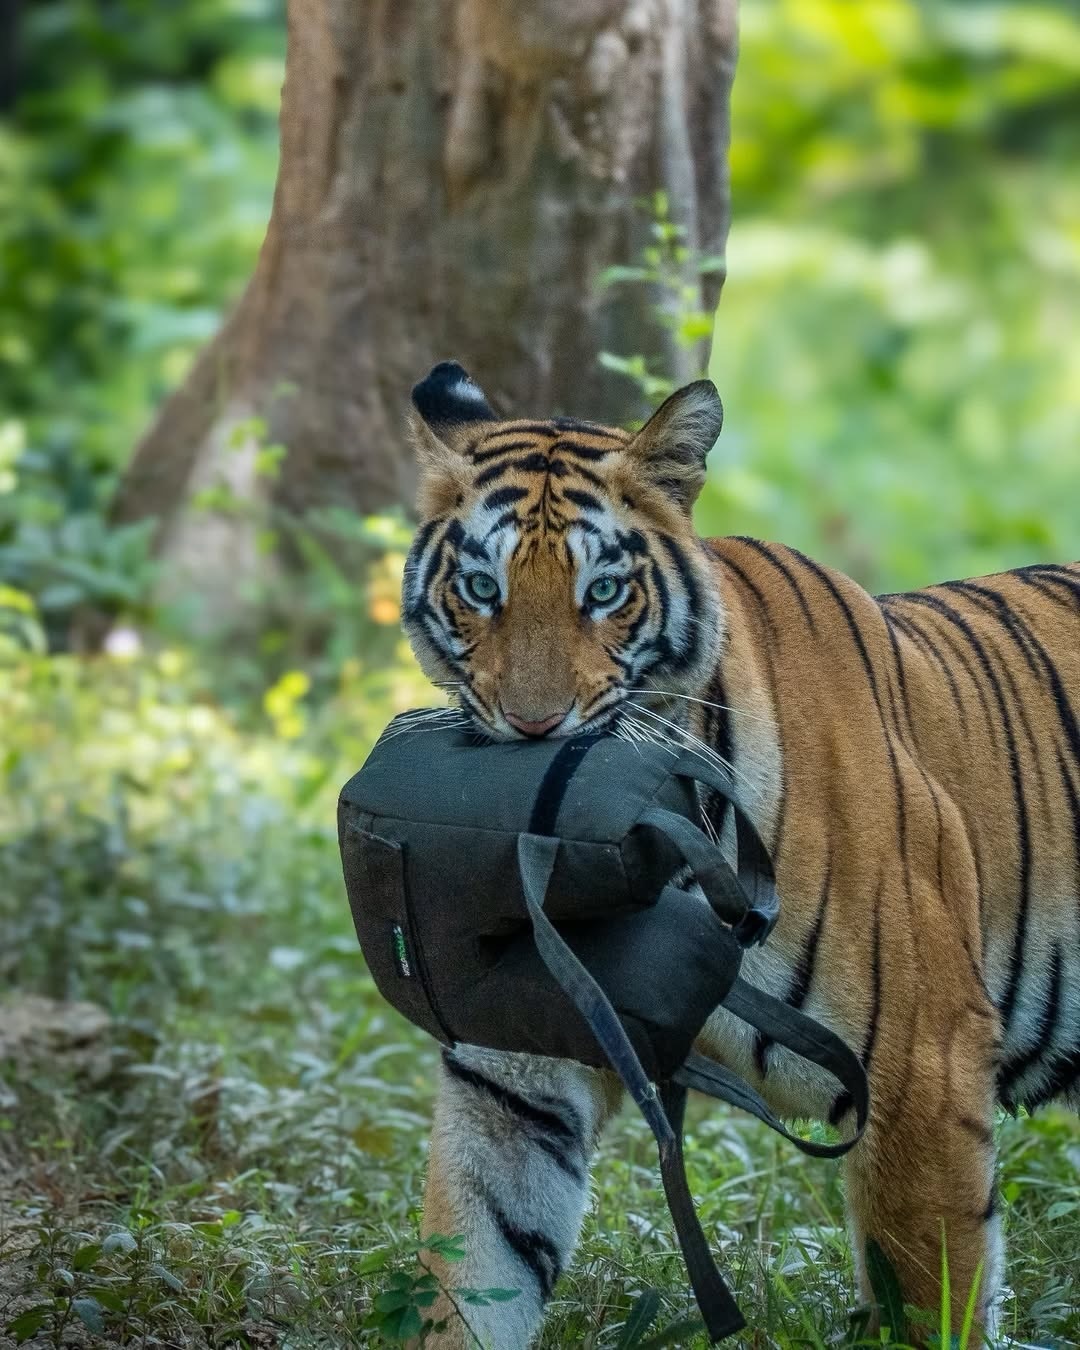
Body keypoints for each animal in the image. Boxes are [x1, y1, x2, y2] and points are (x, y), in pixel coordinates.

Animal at [397, 359, 1080, 1348]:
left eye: (603, 593)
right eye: (482, 589)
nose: (533, 727)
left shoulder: (926, 1063)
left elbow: (933, 1295)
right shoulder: (514, 1083)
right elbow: (476, 1274)